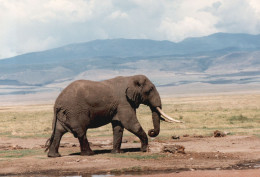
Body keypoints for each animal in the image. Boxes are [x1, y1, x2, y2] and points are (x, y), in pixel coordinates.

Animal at [44, 74, 182, 158]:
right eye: (149, 90)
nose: (151, 131)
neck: (130, 78)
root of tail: (57, 103)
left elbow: (118, 126)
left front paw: (117, 153)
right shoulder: (124, 102)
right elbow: (130, 123)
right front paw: (144, 149)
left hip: (65, 114)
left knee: (58, 132)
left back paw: (54, 156)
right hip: (75, 111)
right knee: (81, 131)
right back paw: (90, 154)